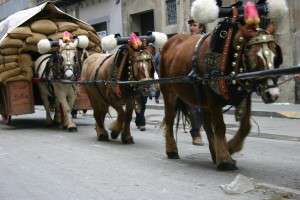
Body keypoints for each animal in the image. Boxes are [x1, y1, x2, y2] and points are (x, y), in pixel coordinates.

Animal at [159, 1, 284, 170]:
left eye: (275, 56)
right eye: (254, 58)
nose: (273, 94)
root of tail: (170, 42)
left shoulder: (243, 95)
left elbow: (245, 126)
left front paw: (230, 147)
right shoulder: (213, 98)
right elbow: (220, 126)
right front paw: (225, 159)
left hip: (201, 99)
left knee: (206, 124)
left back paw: (213, 152)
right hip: (169, 92)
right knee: (170, 119)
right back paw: (172, 150)